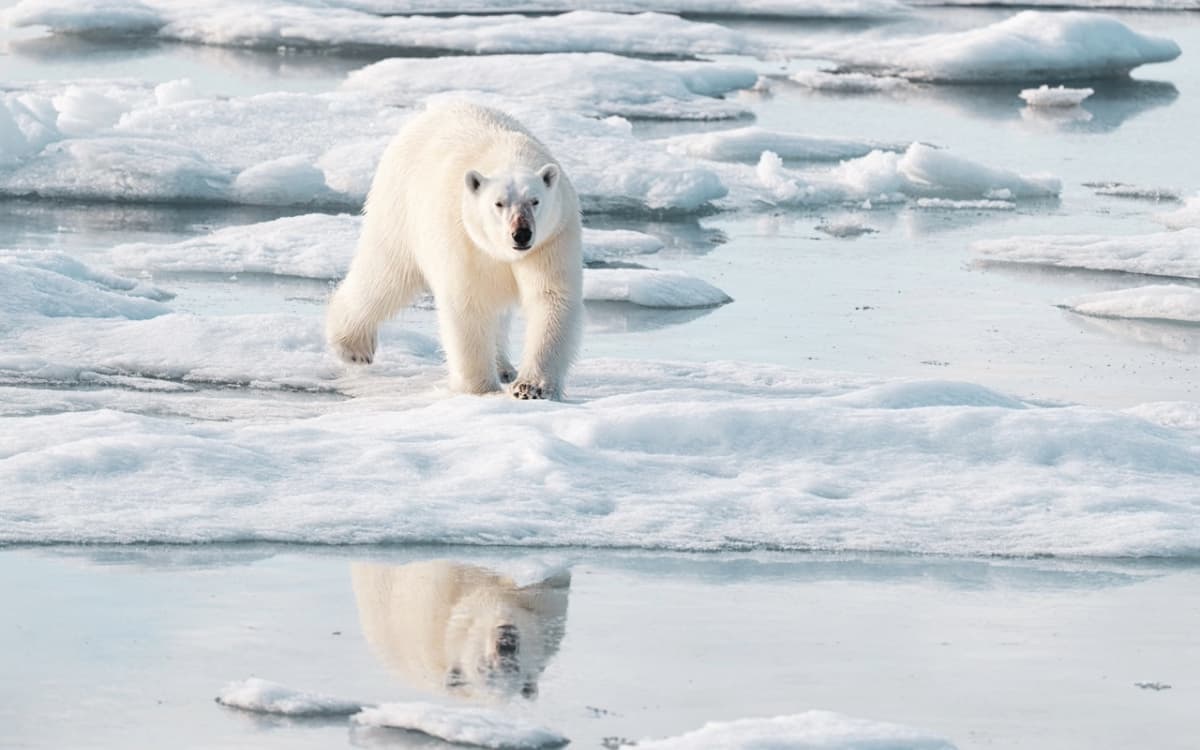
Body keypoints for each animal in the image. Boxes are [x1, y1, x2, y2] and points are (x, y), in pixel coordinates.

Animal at [325, 102, 583, 400]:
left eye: (535, 200)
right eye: (499, 203)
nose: (521, 234)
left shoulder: (551, 240)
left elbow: (550, 298)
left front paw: (530, 387)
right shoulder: (463, 239)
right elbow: (468, 302)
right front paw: (482, 390)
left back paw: (504, 366)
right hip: (399, 208)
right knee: (384, 275)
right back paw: (352, 346)